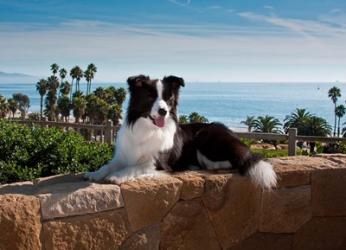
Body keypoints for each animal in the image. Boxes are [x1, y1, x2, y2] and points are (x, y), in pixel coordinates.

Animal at [85, 75, 278, 188]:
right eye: (151, 97)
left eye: (168, 99)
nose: (163, 111)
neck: (148, 128)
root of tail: (231, 133)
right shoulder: (122, 156)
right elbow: (108, 165)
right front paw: (96, 173)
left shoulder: (157, 163)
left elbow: (134, 167)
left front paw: (117, 176)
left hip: (206, 137)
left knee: (234, 160)